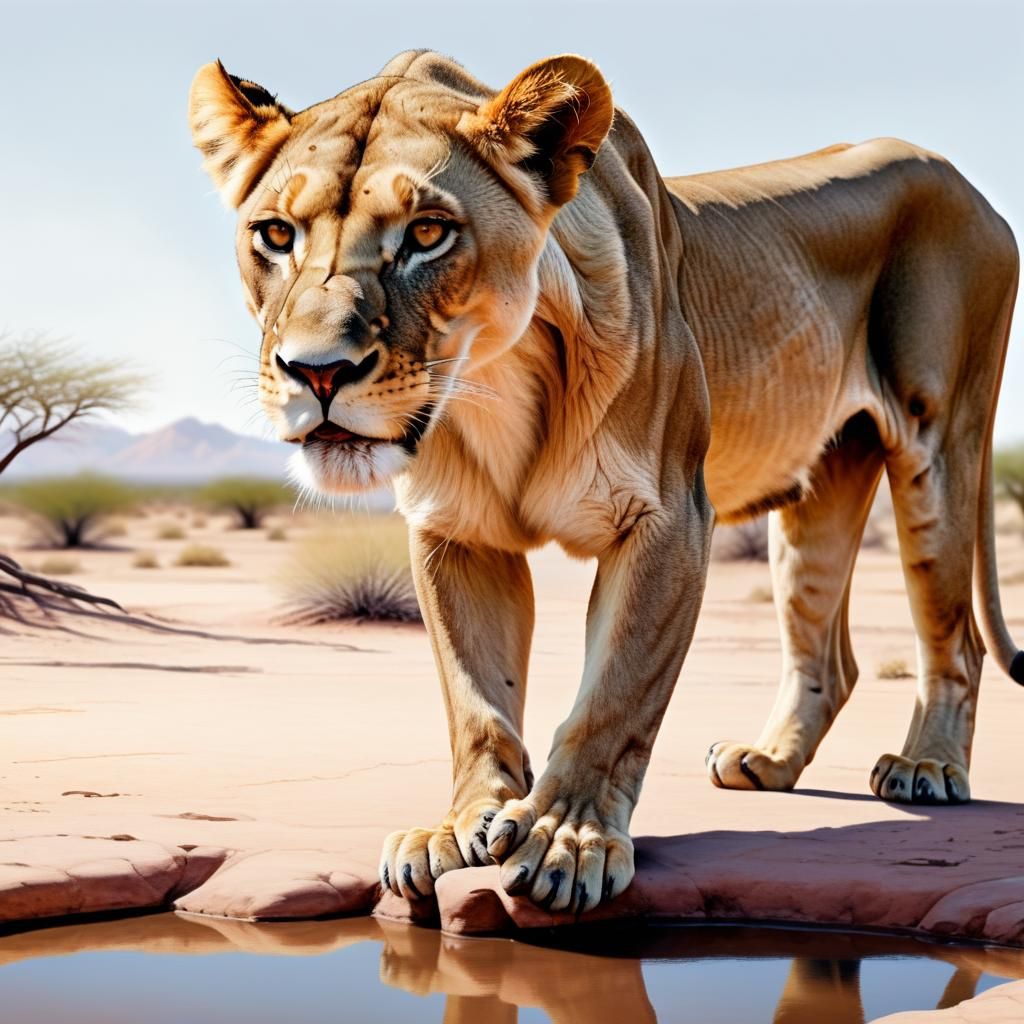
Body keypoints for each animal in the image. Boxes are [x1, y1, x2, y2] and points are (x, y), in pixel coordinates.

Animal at [189, 50, 1020, 913]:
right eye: (276, 234)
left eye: (426, 234)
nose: (317, 372)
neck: (501, 383)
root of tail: (967, 185)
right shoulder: (456, 531)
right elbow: (475, 700)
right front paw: (459, 827)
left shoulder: (669, 519)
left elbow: (614, 697)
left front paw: (566, 839)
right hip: (822, 487)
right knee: (828, 655)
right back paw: (767, 762)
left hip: (937, 444)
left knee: (954, 636)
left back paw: (927, 767)